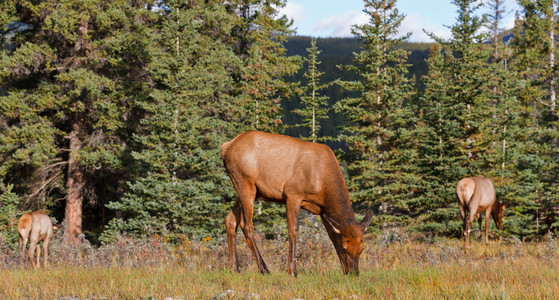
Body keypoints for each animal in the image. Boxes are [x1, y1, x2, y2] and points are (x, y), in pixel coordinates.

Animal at [221, 130, 374, 276]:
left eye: (362, 248)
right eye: (344, 247)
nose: (354, 273)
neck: (323, 184)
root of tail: (225, 147)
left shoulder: (322, 210)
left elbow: (331, 236)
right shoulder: (292, 194)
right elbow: (293, 230)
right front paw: (292, 270)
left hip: (246, 189)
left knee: (230, 220)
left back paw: (234, 268)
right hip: (246, 184)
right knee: (247, 225)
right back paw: (263, 269)